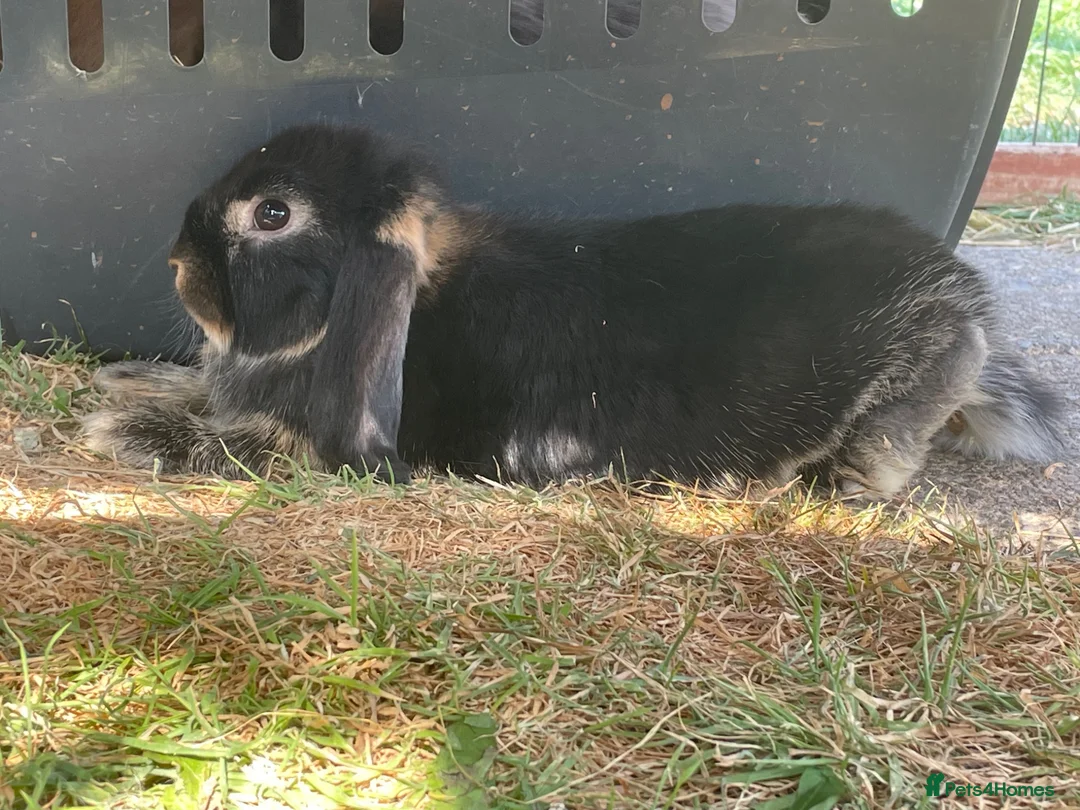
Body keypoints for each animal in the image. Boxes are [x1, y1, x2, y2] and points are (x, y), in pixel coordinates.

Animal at [81, 123, 1065, 500]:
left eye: (273, 215)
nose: (176, 265)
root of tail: (962, 291)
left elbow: (241, 444)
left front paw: (120, 433)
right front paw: (131, 381)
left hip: (905, 364)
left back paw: (845, 472)